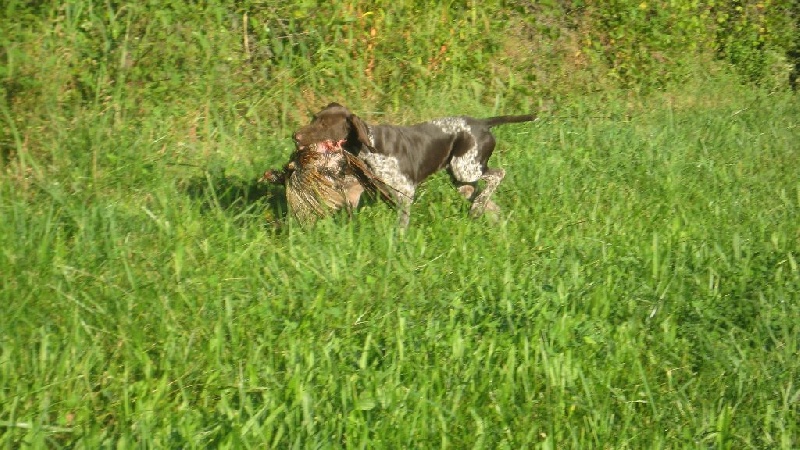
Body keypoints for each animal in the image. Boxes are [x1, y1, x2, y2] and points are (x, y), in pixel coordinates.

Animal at [292, 103, 536, 226]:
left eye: (324, 125)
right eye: (314, 118)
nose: (295, 136)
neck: (368, 145)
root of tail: (483, 123)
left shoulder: (405, 192)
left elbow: (401, 224)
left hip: (466, 170)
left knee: (498, 174)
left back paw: (480, 208)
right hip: (462, 181)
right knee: (487, 201)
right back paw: (487, 214)